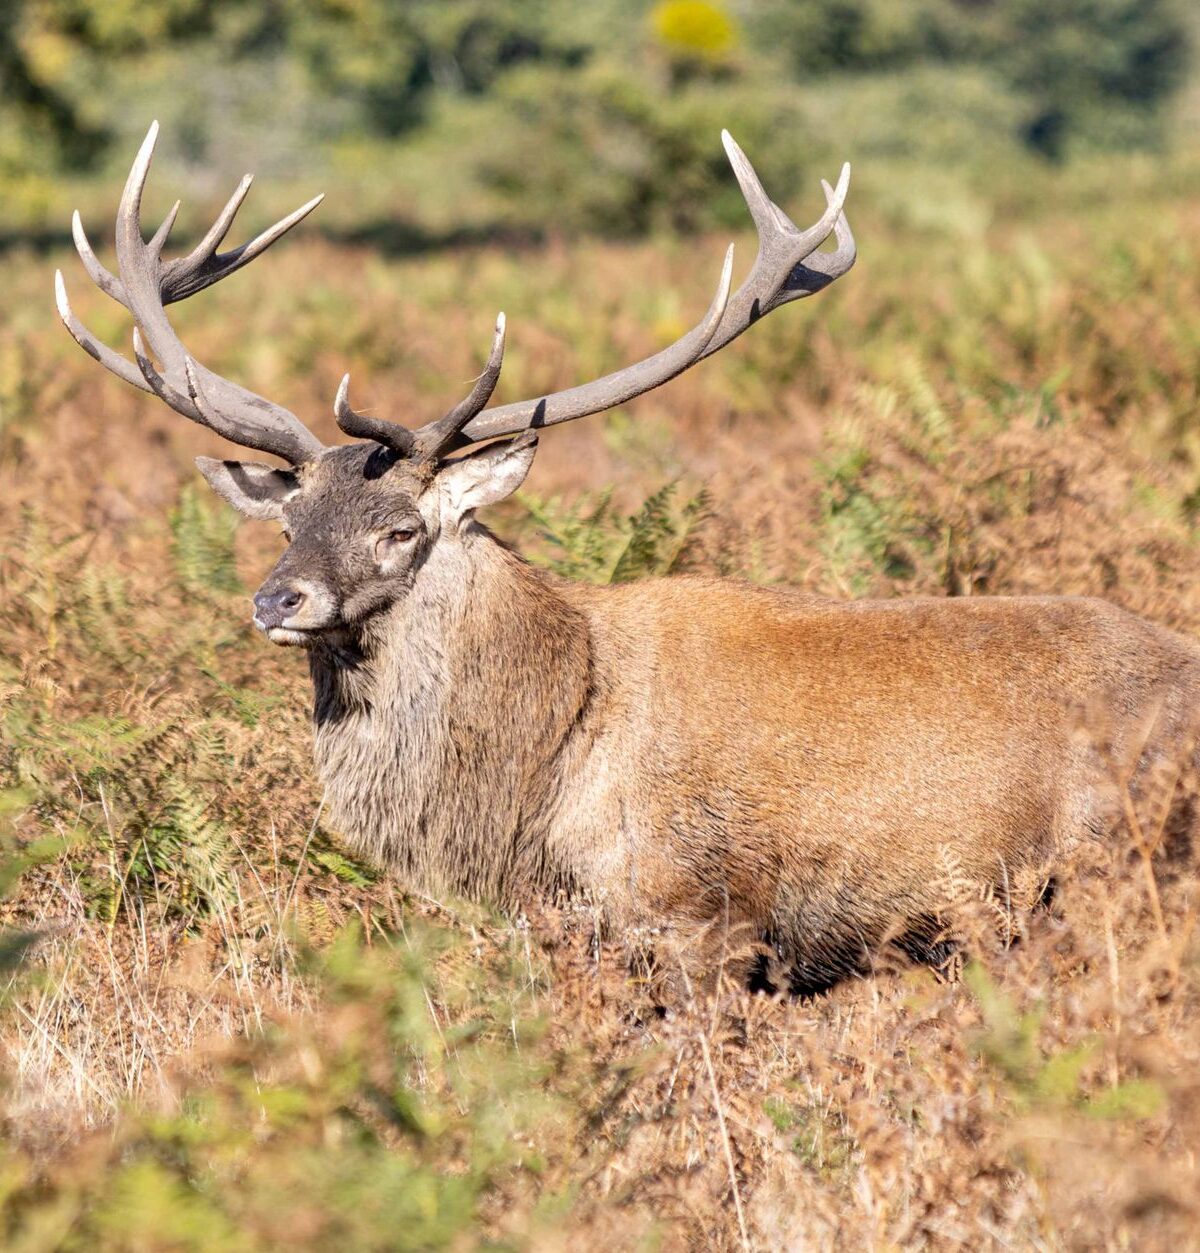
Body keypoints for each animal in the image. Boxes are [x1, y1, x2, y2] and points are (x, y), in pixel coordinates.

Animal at [57, 123, 1200, 994]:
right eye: (288, 515)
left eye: (401, 528)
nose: (277, 596)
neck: (532, 792)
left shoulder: (700, 913)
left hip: (1116, 868)